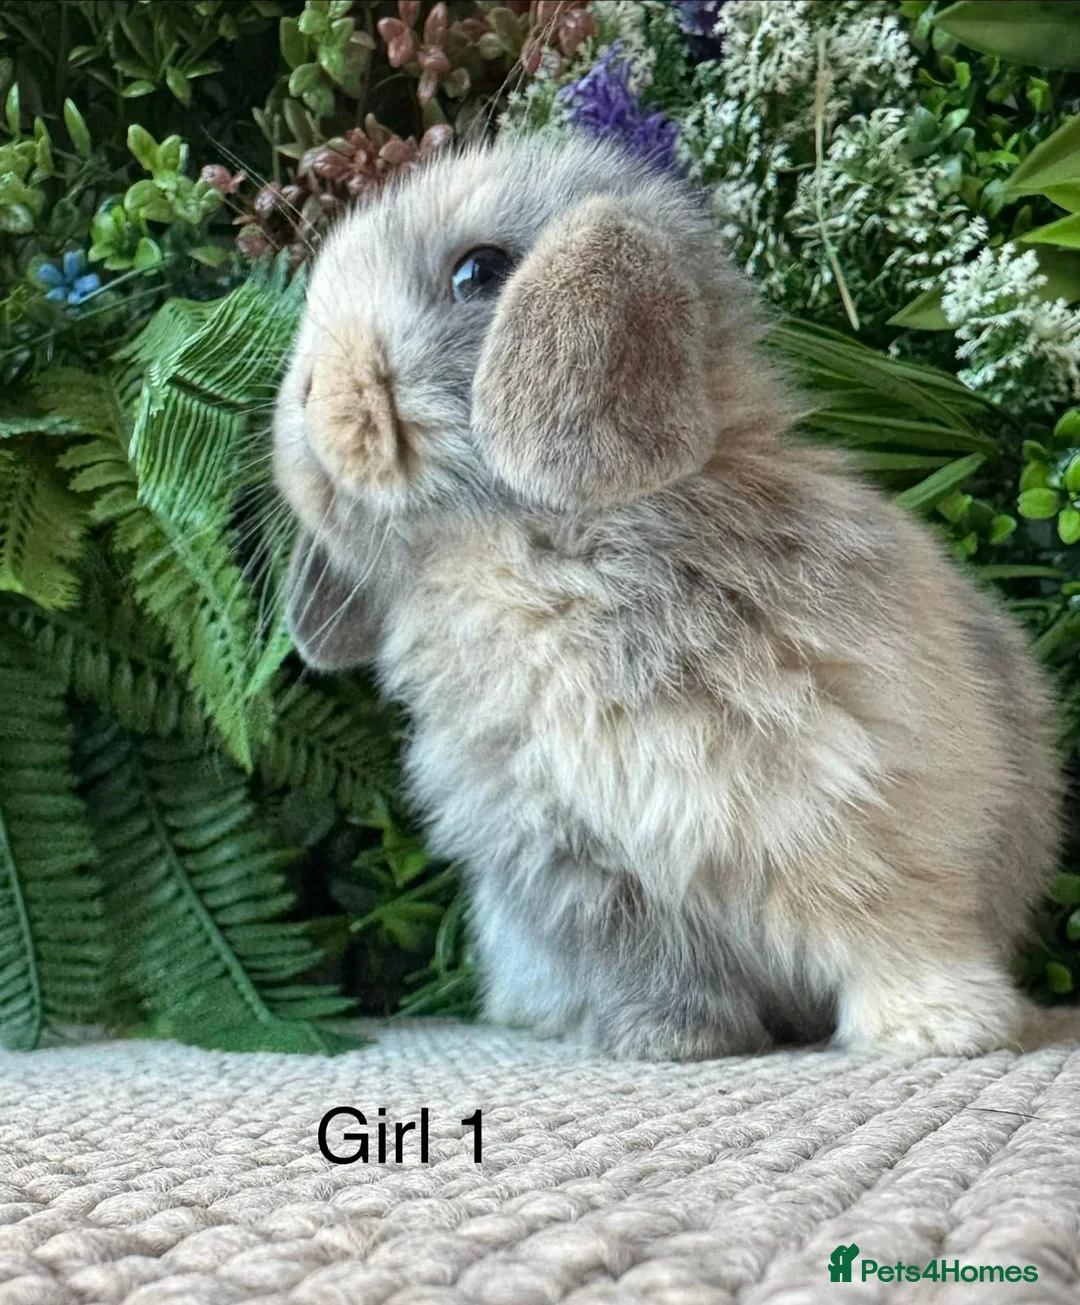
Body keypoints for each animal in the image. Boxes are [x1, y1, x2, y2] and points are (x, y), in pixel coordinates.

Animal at [272, 131, 1063, 1062]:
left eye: (478, 271)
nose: (310, 393)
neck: (522, 555)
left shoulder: (862, 794)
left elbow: (891, 919)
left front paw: (944, 1029)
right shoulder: (587, 868)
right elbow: (655, 964)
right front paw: (670, 1042)